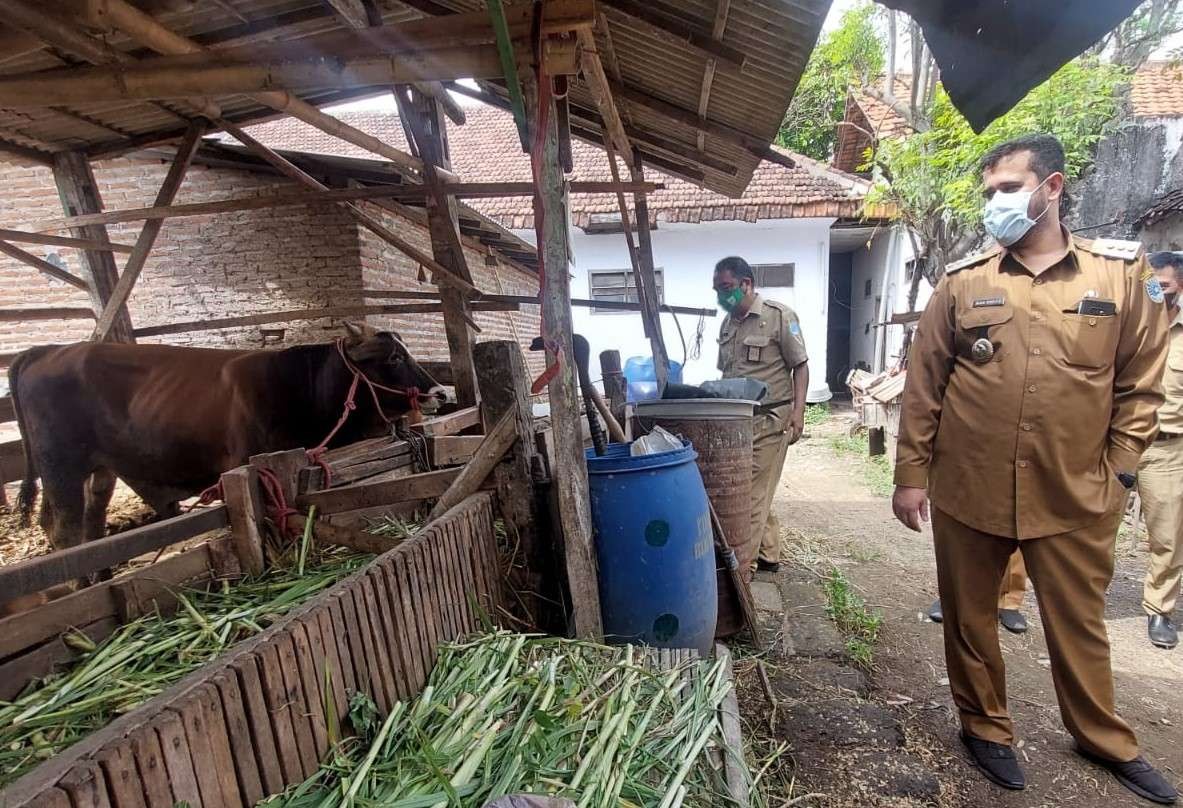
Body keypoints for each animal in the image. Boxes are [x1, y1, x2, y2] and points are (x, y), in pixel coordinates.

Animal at [8, 321, 444, 548]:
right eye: (394, 357)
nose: (440, 392)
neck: (299, 385)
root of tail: (43, 350)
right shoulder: (243, 462)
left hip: (100, 470)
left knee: (90, 525)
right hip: (61, 467)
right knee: (65, 534)